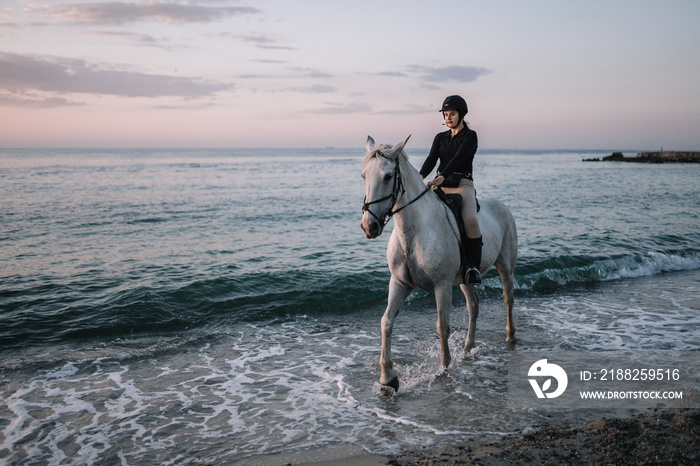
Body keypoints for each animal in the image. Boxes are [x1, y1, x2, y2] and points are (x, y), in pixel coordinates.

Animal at [364, 136, 516, 394]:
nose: (369, 226)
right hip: (466, 278)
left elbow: (442, 326)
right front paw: (388, 379)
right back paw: (467, 347)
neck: (414, 232)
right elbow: (386, 322)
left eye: (387, 176)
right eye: (364, 175)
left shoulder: (442, 286)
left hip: (505, 266)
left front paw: (444, 368)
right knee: (473, 306)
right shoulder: (399, 283)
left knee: (508, 298)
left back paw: (510, 337)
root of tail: (503, 206)